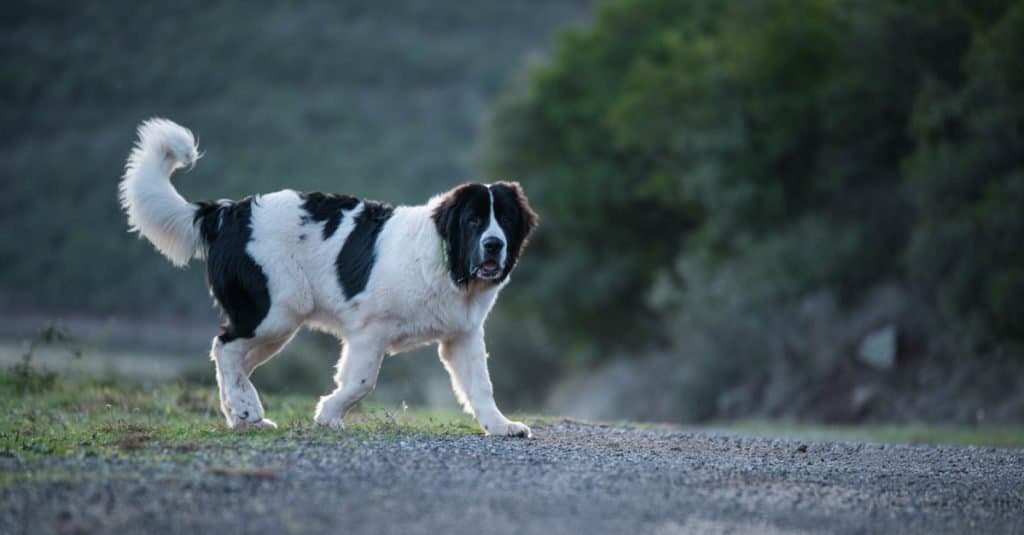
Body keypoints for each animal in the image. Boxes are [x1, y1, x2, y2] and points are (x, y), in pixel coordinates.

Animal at [117, 118, 536, 434]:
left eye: (505, 220)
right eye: (474, 221)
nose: (494, 245)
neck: (445, 260)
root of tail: (227, 212)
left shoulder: (462, 335)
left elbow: (481, 386)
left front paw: (501, 426)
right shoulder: (370, 331)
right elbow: (361, 382)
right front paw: (328, 415)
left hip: (276, 325)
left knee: (236, 361)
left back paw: (242, 416)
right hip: (273, 314)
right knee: (225, 347)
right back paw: (247, 410)